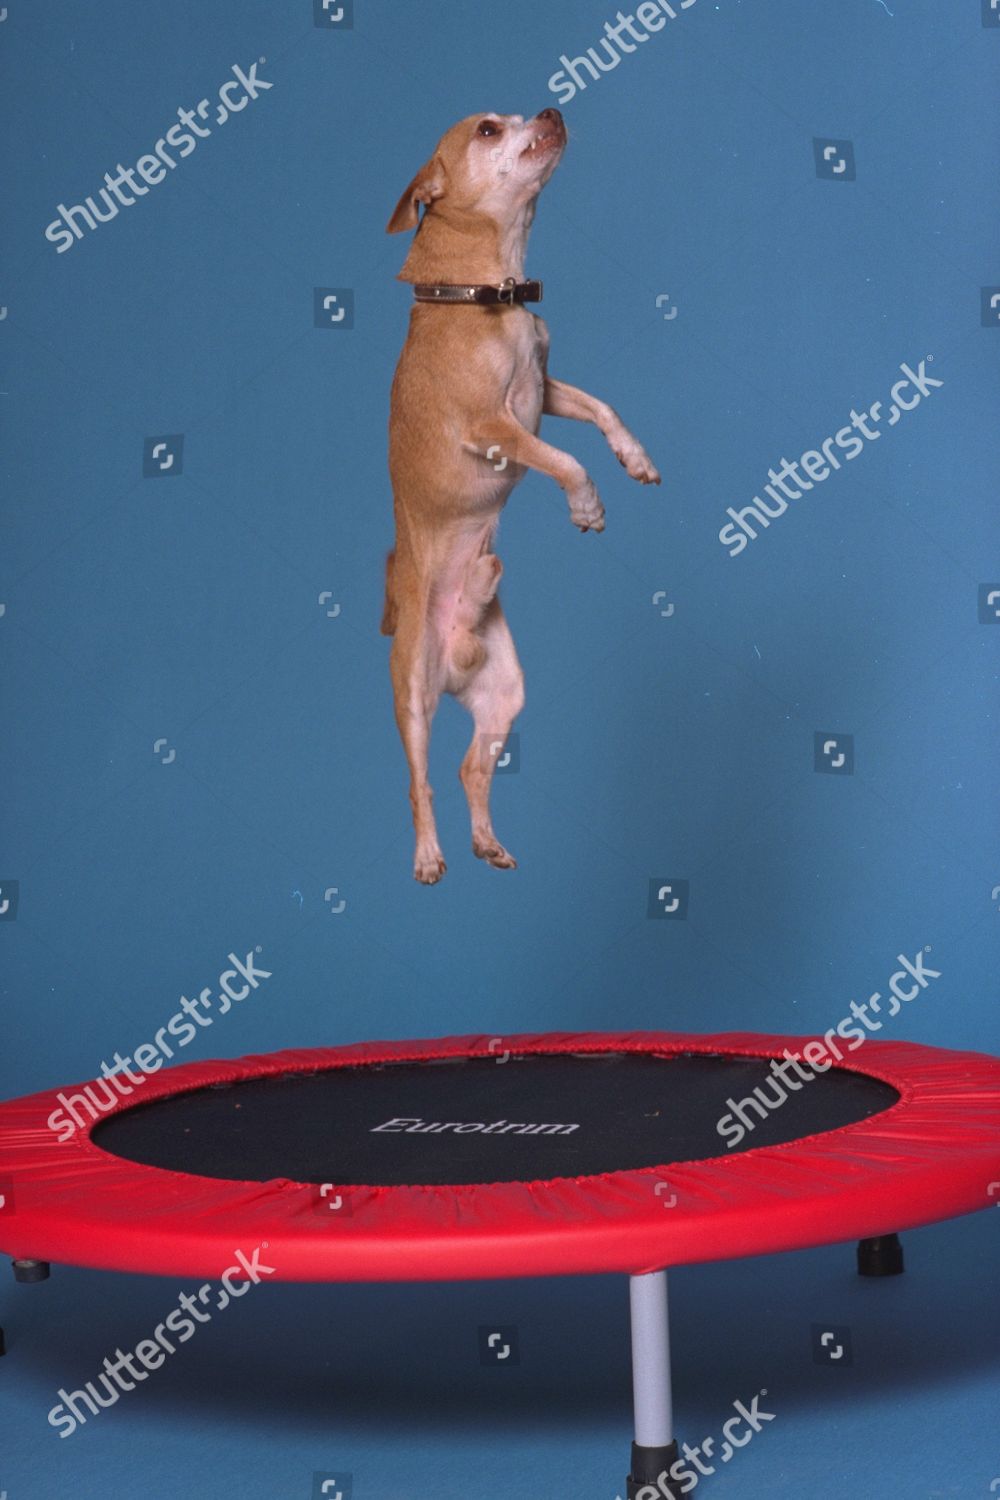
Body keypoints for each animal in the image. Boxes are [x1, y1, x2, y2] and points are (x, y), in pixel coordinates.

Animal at [386, 111, 659, 882]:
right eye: (487, 129)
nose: (552, 111)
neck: (493, 291)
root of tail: (452, 653)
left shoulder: (544, 392)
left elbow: (600, 410)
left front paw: (634, 457)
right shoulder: (496, 428)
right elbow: (563, 460)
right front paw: (587, 504)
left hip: (504, 696)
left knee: (470, 769)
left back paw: (486, 842)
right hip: (412, 694)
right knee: (419, 780)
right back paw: (429, 854)